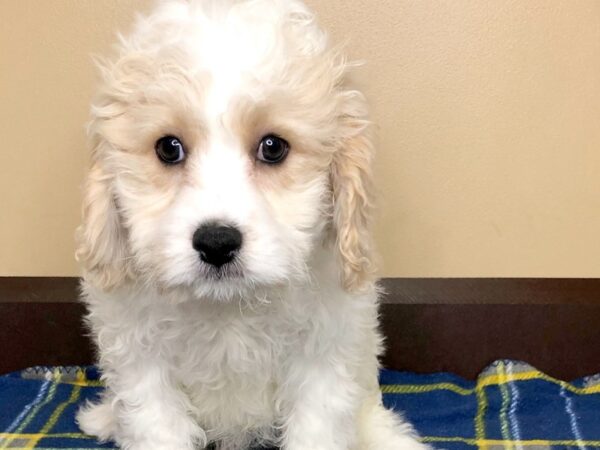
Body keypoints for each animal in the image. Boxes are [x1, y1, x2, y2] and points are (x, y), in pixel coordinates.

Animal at [77, 0, 428, 450]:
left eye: (273, 147)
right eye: (168, 148)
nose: (216, 242)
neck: (230, 308)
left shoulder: (324, 359)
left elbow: (319, 429)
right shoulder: (143, 363)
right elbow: (155, 427)